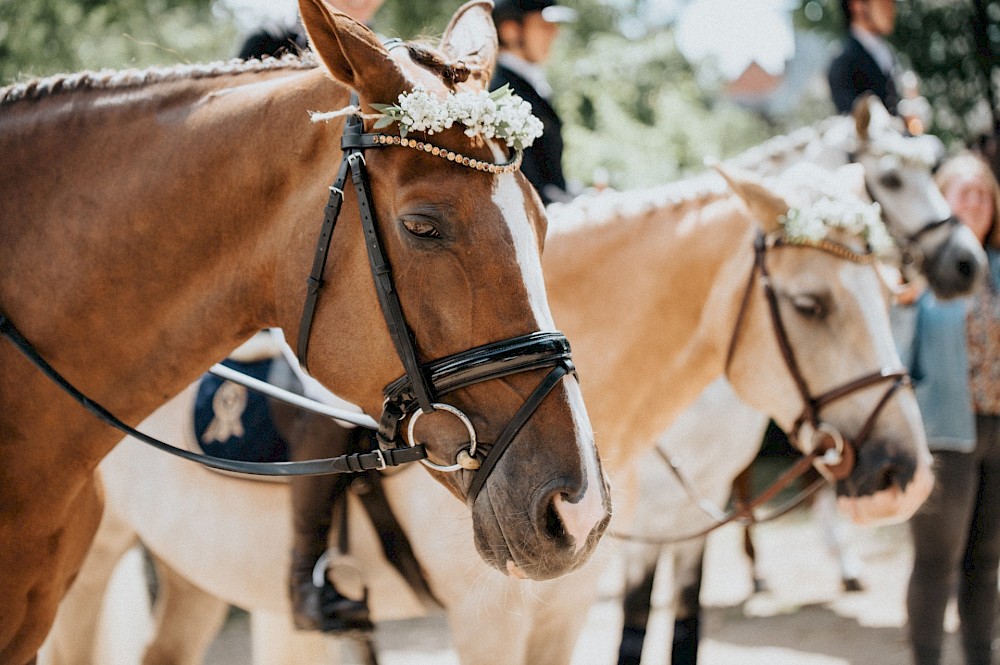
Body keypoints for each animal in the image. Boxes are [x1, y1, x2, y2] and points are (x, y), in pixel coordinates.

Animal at [41, 162, 928, 664]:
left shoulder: (565, 611)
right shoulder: (489, 619)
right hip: (87, 569)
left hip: (194, 571)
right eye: (810, 305)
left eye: (893, 294)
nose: (904, 473)